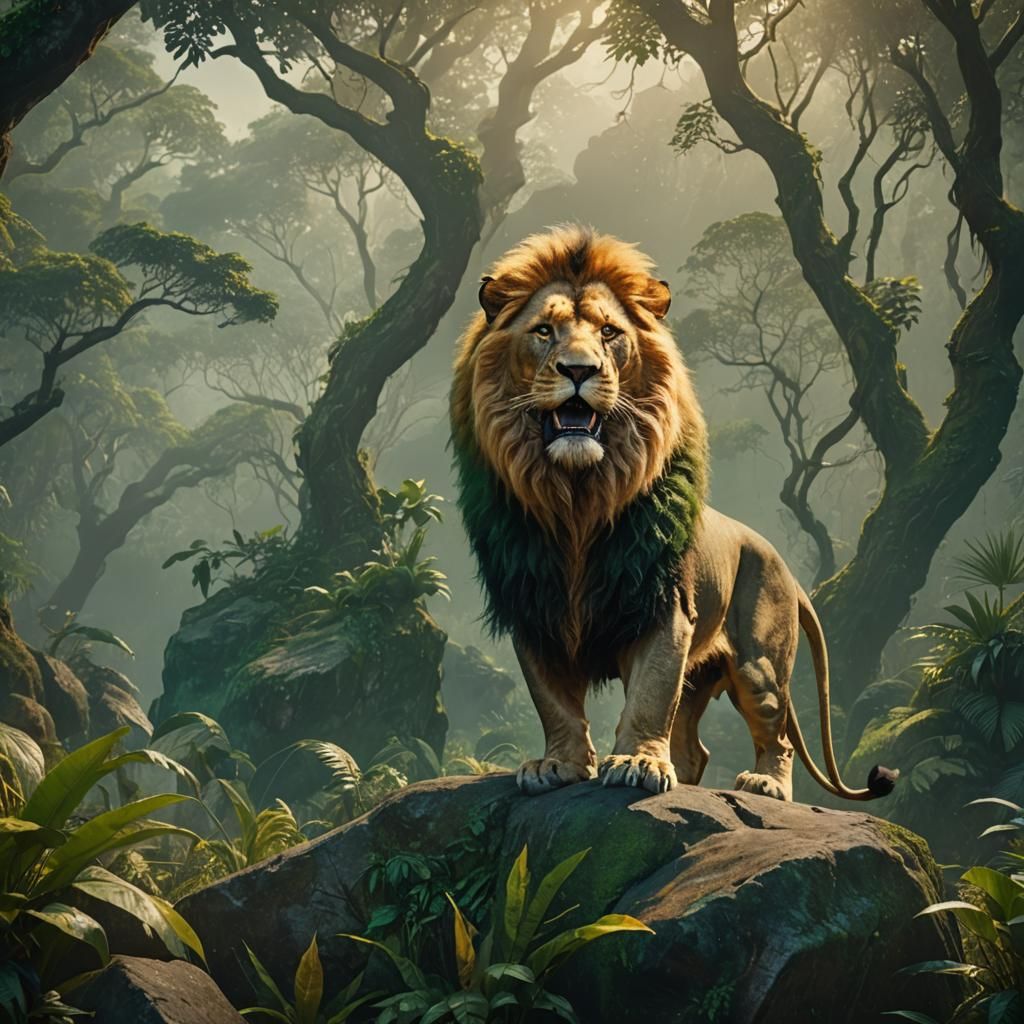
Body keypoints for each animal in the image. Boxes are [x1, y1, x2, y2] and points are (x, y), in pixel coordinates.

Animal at [450, 225, 897, 802]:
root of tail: (784, 564)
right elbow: (554, 703)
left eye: (610, 333)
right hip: (705, 674)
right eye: (544, 331)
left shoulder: (664, 609)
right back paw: (684, 776)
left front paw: (637, 763)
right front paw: (559, 765)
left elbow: (649, 696)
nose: (579, 370)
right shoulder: (535, 609)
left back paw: (764, 785)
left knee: (774, 732)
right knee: (694, 748)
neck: (578, 499)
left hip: (759, 667)